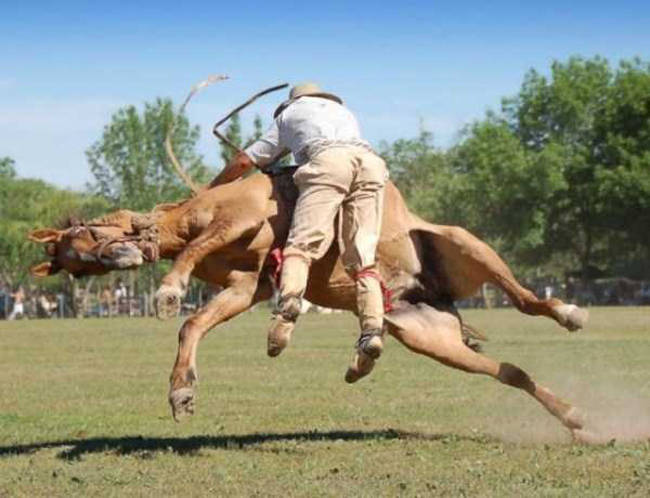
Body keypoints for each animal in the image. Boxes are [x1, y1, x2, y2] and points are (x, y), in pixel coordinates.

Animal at [25, 80, 592, 442]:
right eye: (77, 265)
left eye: (84, 231)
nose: (118, 257)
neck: (190, 214)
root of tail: (433, 296)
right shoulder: (245, 287)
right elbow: (194, 324)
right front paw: (181, 395)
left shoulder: (244, 219)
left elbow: (192, 253)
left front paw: (168, 291)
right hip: (430, 337)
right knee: (509, 371)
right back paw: (573, 417)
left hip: (467, 245)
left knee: (526, 301)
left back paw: (570, 315)